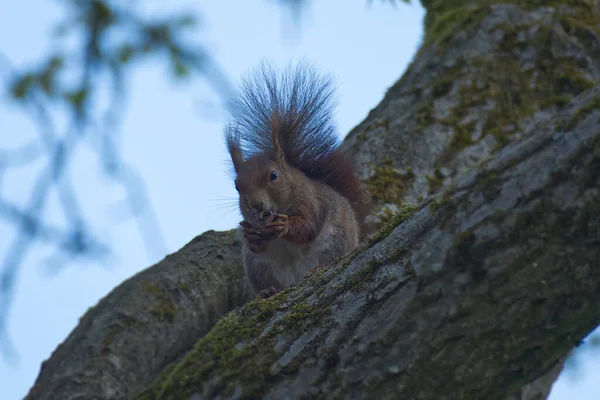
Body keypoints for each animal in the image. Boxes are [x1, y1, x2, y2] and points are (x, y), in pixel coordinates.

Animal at [223, 60, 368, 296]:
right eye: (236, 186)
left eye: (273, 175)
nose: (255, 204)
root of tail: (295, 280)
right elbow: (255, 243)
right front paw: (250, 235)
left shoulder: (310, 201)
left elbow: (308, 226)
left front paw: (284, 226)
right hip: (256, 266)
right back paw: (268, 291)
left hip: (336, 240)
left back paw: (317, 268)